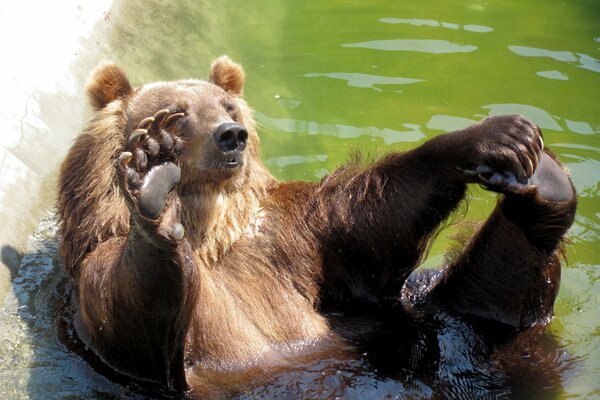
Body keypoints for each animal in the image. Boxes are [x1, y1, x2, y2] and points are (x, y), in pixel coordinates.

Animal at [57, 56, 576, 396]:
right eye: (178, 114)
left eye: (227, 106)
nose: (231, 135)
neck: (212, 230)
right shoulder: (100, 279)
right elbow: (131, 310)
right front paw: (152, 178)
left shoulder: (289, 236)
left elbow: (363, 226)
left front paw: (494, 135)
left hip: (422, 323)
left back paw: (544, 185)